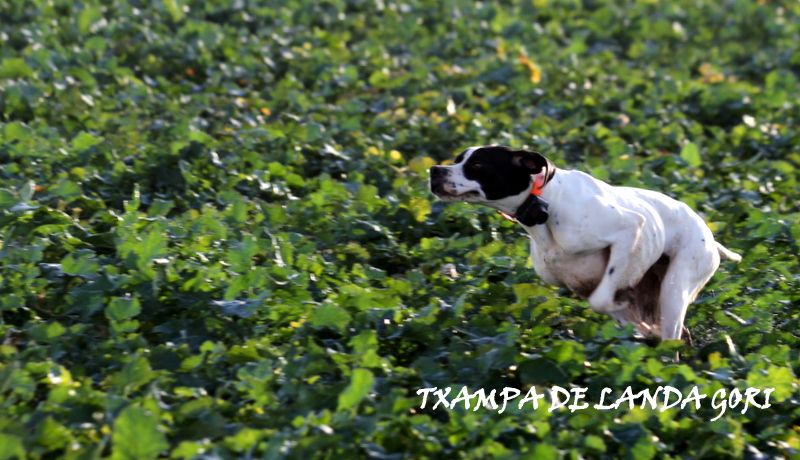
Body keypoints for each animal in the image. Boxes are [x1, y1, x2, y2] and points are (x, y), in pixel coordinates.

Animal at [432, 146, 744, 340]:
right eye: (457, 159)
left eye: (477, 165)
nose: (434, 169)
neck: (545, 203)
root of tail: (711, 238)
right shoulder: (579, 284)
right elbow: (611, 305)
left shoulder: (629, 229)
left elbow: (601, 301)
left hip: (674, 291)